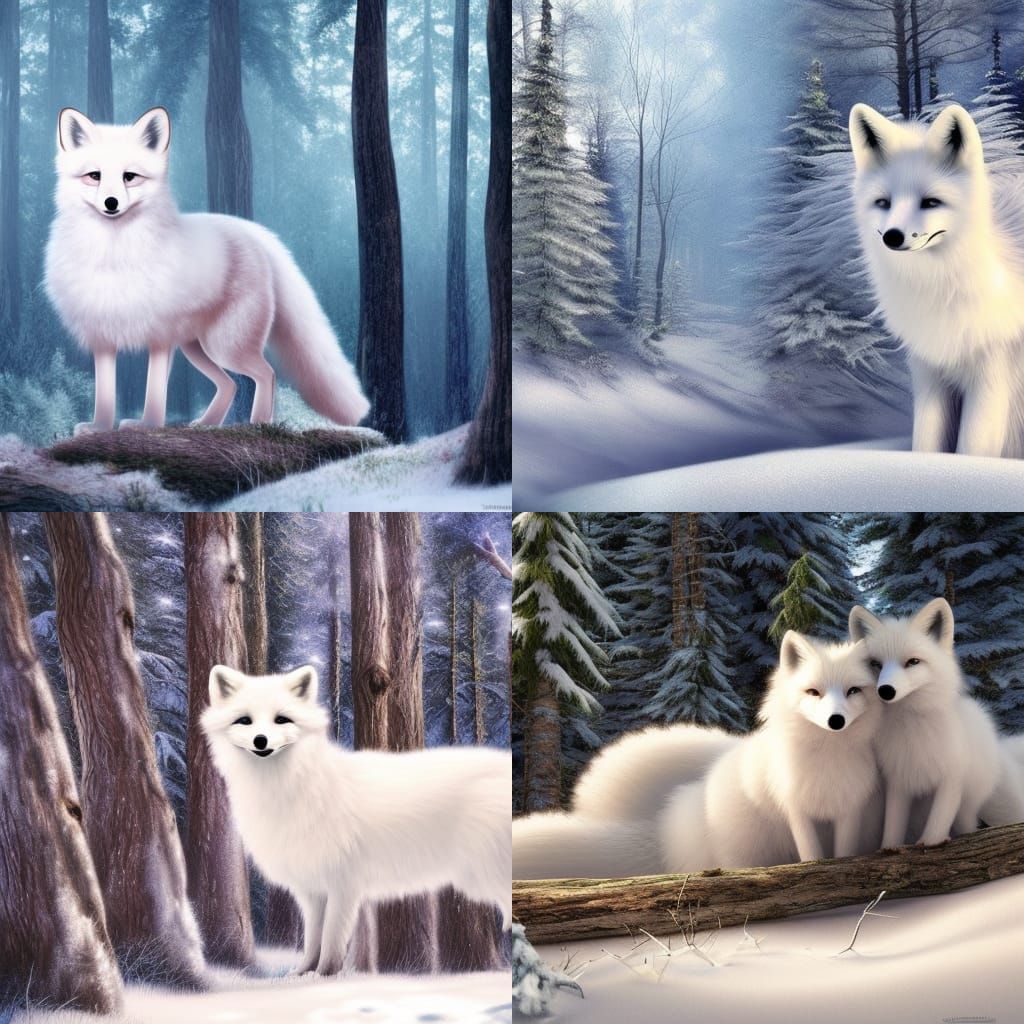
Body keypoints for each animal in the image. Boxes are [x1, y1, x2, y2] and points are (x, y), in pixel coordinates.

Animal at [44, 107, 370, 435]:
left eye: (130, 177)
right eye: (94, 176)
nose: (111, 203)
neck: (114, 254)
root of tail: (252, 231)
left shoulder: (160, 338)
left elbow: (154, 392)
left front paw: (147, 425)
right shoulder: (102, 336)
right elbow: (105, 392)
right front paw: (99, 427)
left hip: (224, 346)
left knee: (266, 374)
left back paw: (258, 423)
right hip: (196, 348)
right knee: (230, 385)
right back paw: (207, 424)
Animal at [200, 665, 511, 975]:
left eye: (281, 719)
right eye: (244, 720)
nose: (261, 740)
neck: (289, 788)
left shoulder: (344, 885)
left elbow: (331, 940)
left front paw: (325, 975)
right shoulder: (312, 891)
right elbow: (312, 939)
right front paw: (303, 974)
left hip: (482, 875)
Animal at [848, 597, 1024, 847]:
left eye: (913, 662)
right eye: (875, 664)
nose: (886, 690)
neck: (913, 732)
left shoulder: (952, 777)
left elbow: (940, 817)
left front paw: (931, 842)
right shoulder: (899, 779)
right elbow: (893, 823)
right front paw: (890, 848)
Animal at [849, 102, 1024, 458]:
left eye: (930, 202)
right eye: (883, 203)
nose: (892, 237)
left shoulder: (993, 373)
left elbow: (972, 449)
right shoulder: (930, 371)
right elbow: (926, 442)